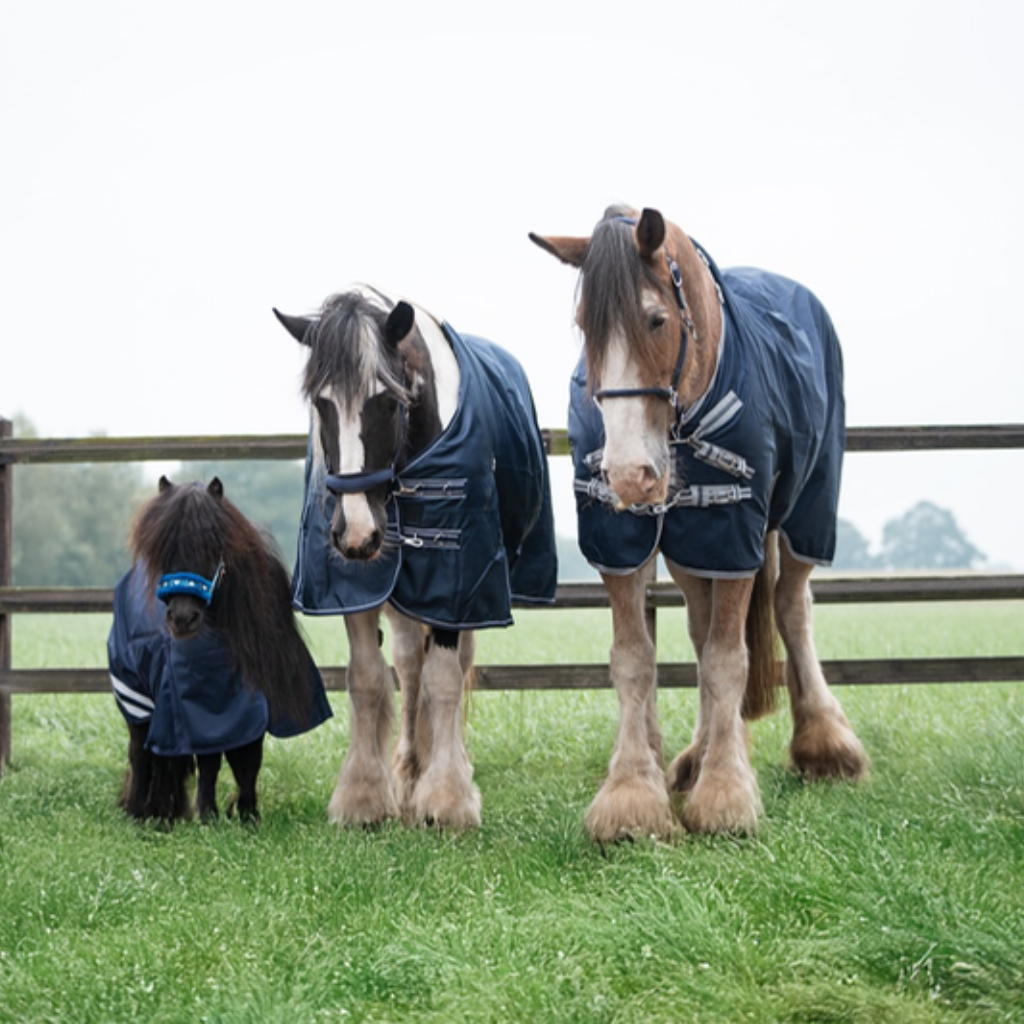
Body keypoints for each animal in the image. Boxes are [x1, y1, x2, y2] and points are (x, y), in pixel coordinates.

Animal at [108, 476, 332, 822]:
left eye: (212, 547)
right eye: (161, 549)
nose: (182, 618)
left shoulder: (251, 705)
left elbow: (248, 761)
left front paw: (249, 816)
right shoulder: (201, 712)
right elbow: (210, 761)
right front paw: (209, 816)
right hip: (136, 699)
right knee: (140, 752)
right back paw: (140, 813)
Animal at [274, 286, 556, 828]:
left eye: (387, 403)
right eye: (321, 403)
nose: (357, 533)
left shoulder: (457, 582)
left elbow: (444, 681)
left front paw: (447, 799)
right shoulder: (357, 587)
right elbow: (368, 679)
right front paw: (364, 797)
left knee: (452, 666)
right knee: (407, 664)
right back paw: (407, 771)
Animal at [530, 205, 868, 841]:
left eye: (656, 320)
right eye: (586, 326)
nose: (628, 475)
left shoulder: (734, 532)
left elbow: (727, 660)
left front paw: (726, 794)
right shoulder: (622, 541)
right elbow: (637, 661)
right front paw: (633, 793)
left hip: (805, 513)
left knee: (791, 608)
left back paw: (825, 742)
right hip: (690, 547)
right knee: (702, 626)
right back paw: (697, 756)